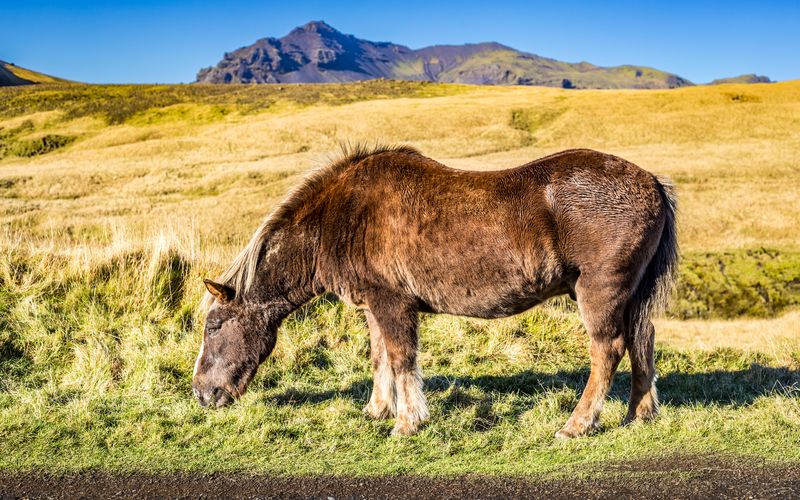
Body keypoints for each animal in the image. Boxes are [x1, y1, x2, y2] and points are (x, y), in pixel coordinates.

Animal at [192, 145, 678, 438]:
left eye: (213, 326)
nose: (202, 394)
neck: (339, 217)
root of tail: (651, 182)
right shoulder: (374, 306)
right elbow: (380, 357)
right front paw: (377, 409)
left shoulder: (392, 304)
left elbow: (402, 359)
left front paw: (407, 422)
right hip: (630, 296)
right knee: (643, 340)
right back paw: (640, 413)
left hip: (598, 290)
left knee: (608, 350)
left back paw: (577, 424)